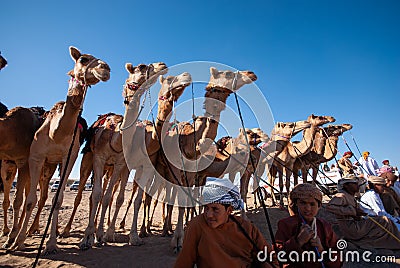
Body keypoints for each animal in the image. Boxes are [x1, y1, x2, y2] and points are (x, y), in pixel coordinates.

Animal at [11, 46, 111, 253]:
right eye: (83, 59)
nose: (106, 69)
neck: (55, 133)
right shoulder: (36, 157)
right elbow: (30, 200)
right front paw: (19, 241)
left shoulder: (69, 157)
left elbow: (57, 199)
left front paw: (50, 243)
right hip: (46, 165)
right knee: (36, 197)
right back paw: (26, 232)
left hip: (56, 165)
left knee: (48, 196)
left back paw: (53, 230)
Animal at [153, 66, 256, 251]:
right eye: (228, 73)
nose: (251, 74)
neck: (189, 143)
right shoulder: (182, 171)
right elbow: (183, 200)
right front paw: (178, 240)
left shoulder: (194, 174)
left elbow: (191, 199)